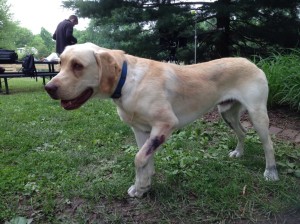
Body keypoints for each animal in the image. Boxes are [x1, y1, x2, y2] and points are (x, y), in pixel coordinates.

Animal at [44, 42, 278, 198]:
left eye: (78, 65)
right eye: (61, 63)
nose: (48, 87)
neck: (128, 81)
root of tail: (250, 61)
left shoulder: (165, 125)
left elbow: (139, 158)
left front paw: (140, 187)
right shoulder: (141, 130)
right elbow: (145, 159)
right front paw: (145, 184)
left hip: (257, 115)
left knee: (268, 144)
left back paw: (271, 172)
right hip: (227, 113)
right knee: (242, 133)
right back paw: (238, 152)